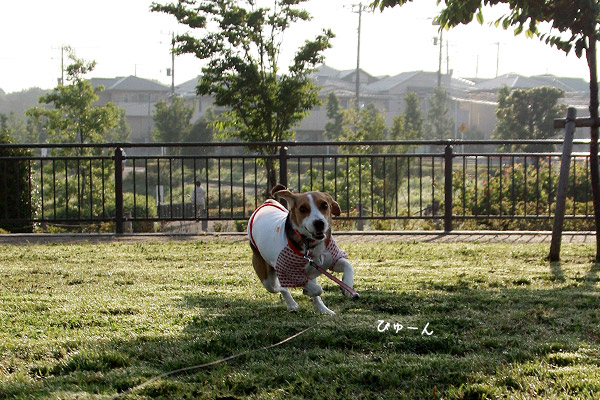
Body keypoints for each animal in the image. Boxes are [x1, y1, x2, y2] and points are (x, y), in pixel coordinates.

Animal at [246, 184, 354, 316]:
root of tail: (267, 203)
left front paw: (347, 285)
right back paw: (292, 303)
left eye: (324, 205)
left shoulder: (330, 259)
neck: (310, 245)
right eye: (303, 208)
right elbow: (316, 289)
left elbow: (348, 265)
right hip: (267, 280)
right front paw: (308, 291)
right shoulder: (290, 272)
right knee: (281, 288)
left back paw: (325, 310)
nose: (319, 223)